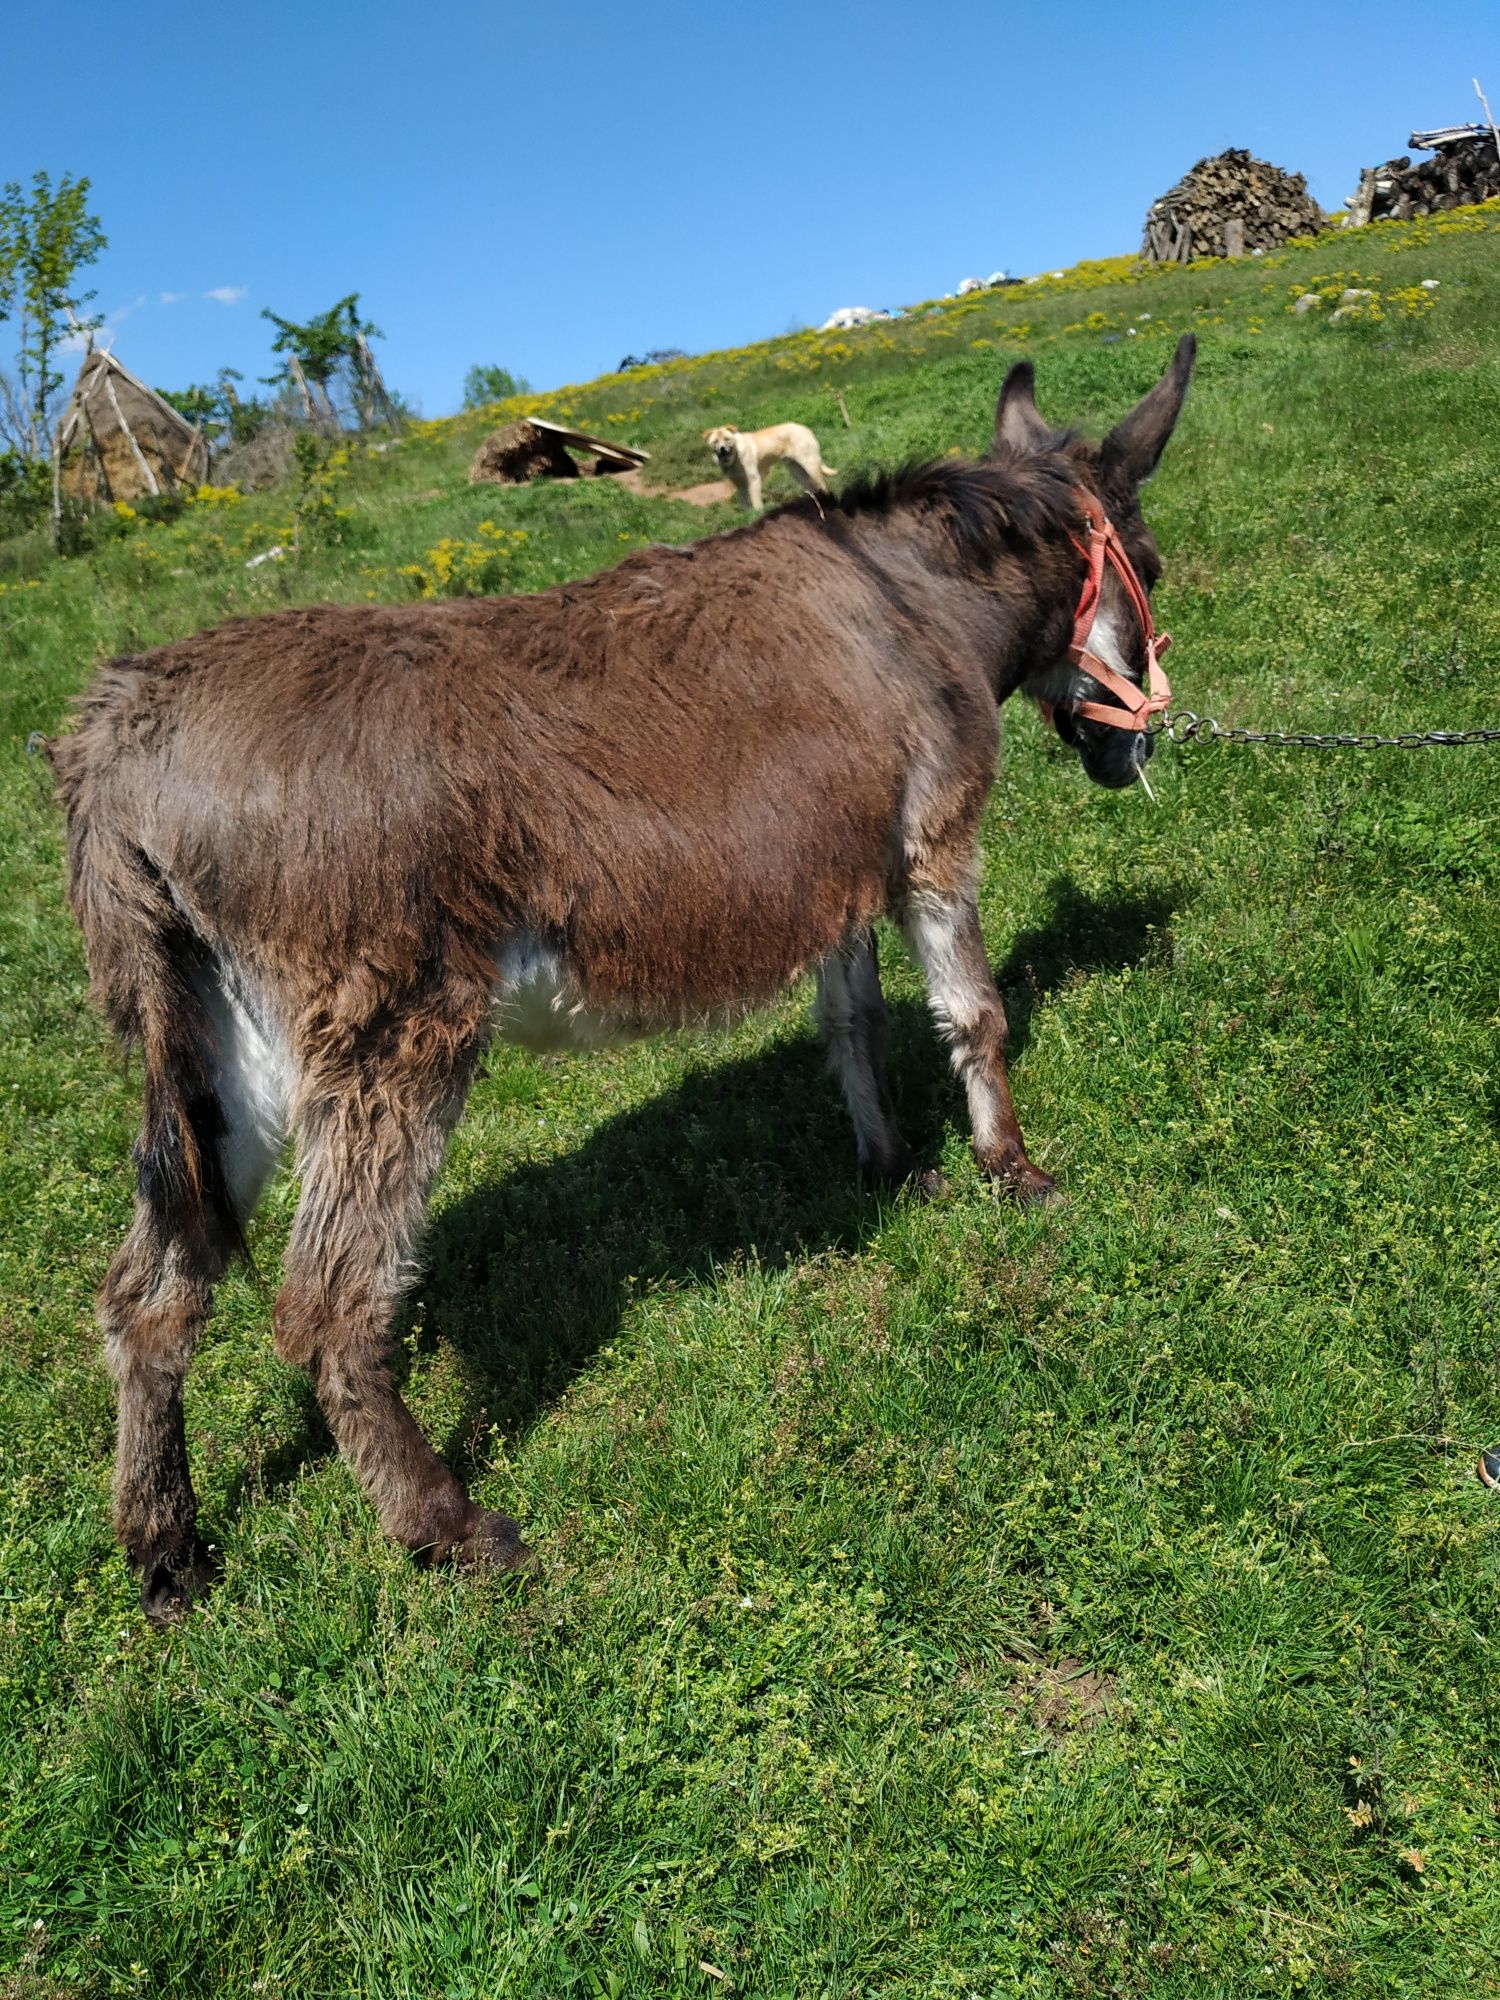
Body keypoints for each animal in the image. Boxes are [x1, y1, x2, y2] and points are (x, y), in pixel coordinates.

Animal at [708, 422, 840, 512]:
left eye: (727, 439)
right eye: (715, 442)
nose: (722, 449)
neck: (735, 456)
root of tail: (804, 428)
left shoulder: (754, 479)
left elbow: (755, 500)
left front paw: (758, 513)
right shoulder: (739, 484)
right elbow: (744, 502)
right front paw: (748, 515)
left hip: (810, 465)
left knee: (823, 484)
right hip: (796, 471)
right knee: (811, 486)